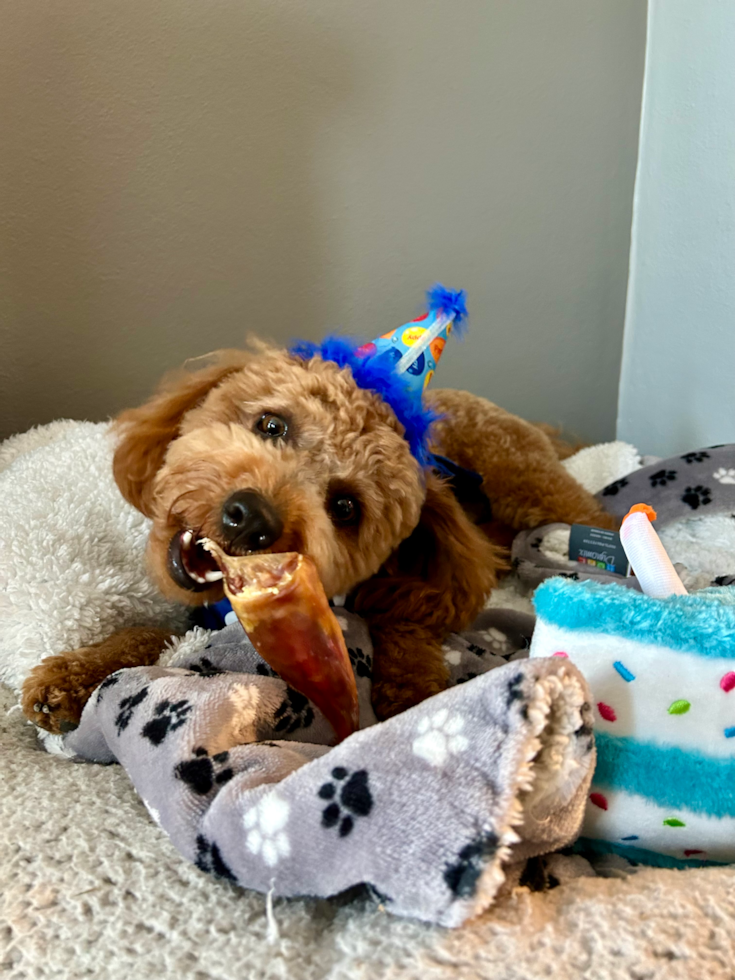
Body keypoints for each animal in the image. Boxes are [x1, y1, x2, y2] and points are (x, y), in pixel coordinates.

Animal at [21, 340, 616, 732]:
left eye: (345, 507)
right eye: (271, 425)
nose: (250, 517)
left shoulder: (422, 586)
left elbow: (407, 627)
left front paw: (417, 697)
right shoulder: (191, 613)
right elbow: (145, 636)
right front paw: (75, 673)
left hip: (531, 484)